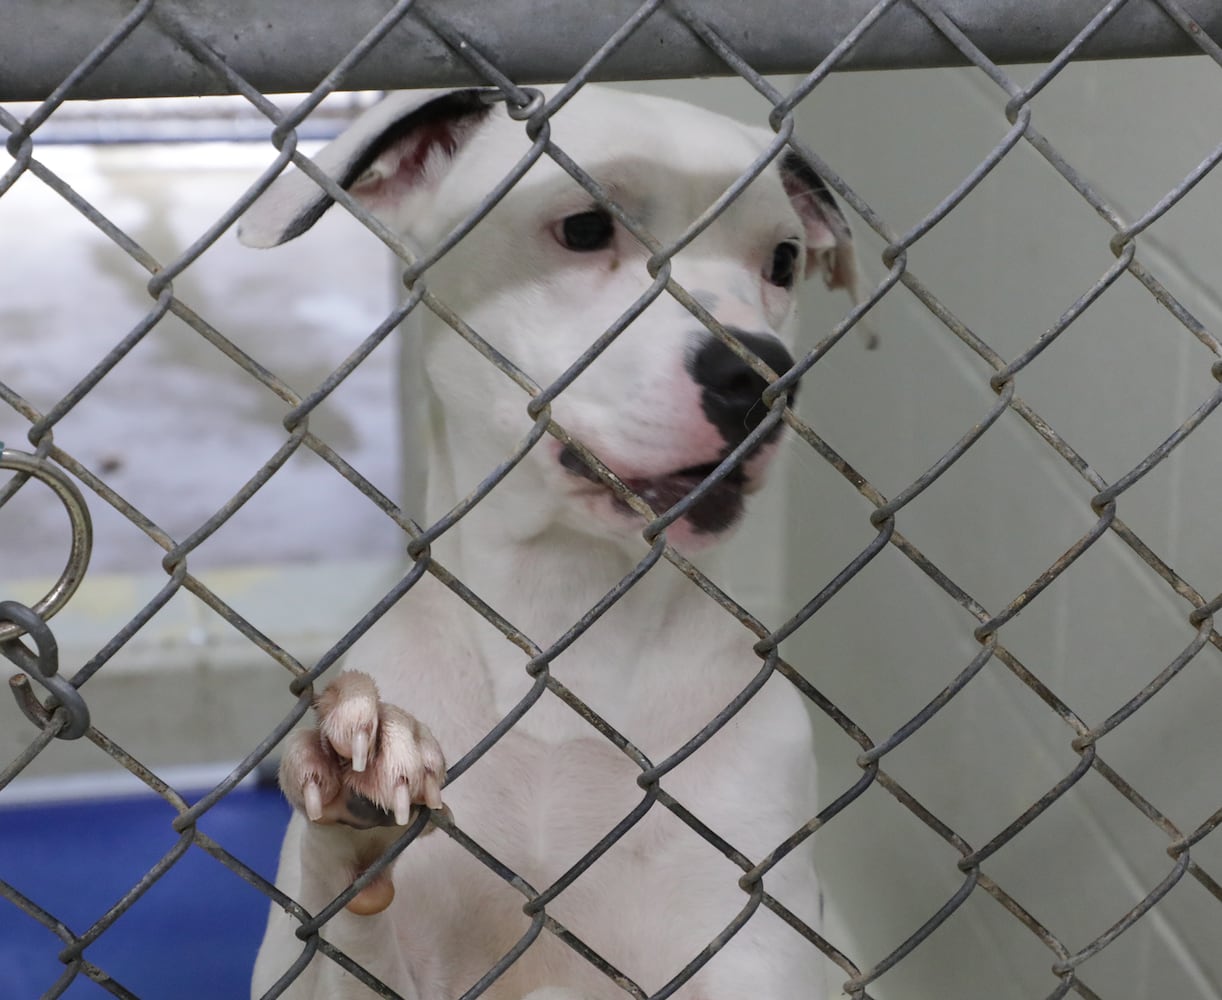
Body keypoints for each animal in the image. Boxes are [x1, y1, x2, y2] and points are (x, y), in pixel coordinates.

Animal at [240, 85, 860, 997]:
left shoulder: (751, 936)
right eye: (584, 227)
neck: (567, 608)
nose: (761, 374)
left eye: (782, 260)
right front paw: (358, 776)